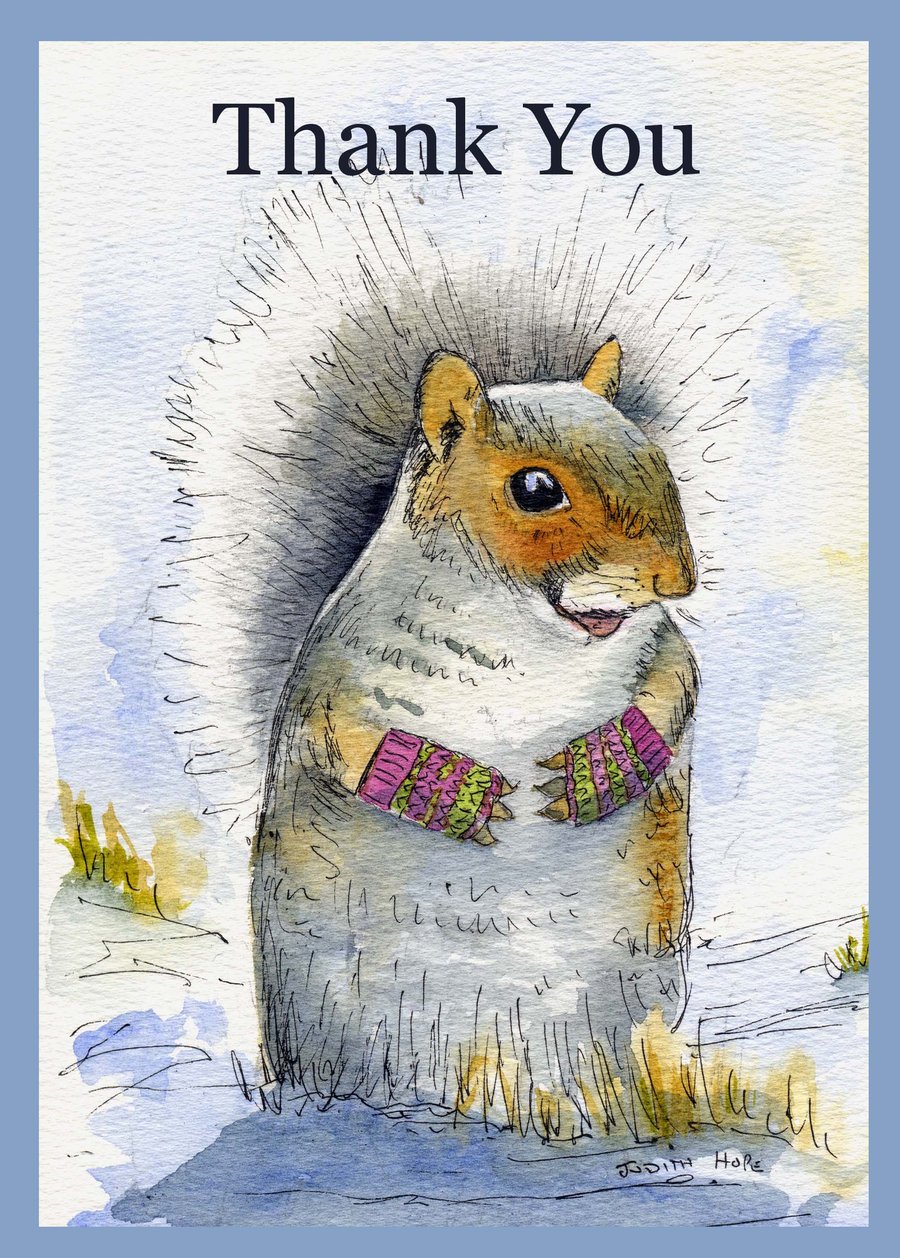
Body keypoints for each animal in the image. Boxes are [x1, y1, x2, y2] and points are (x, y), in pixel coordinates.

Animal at [157, 178, 744, 1141]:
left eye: (656, 454)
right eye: (535, 489)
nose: (677, 577)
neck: (535, 637)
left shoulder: (658, 643)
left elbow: (677, 687)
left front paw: (604, 760)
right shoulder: (337, 668)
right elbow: (338, 737)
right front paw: (440, 784)